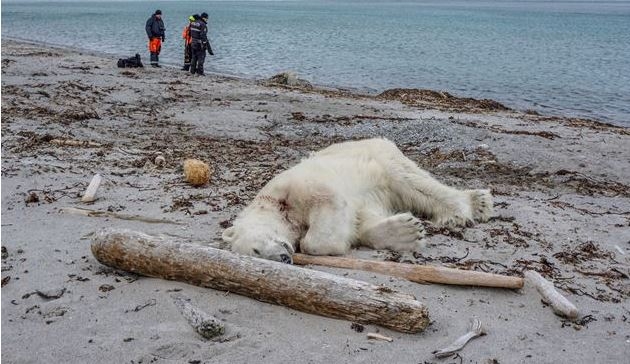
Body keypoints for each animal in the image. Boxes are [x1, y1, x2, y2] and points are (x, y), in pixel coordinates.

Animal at [222, 138, 494, 264]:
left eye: (256, 250)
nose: (283, 258)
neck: (276, 205)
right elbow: (361, 221)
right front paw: (406, 231)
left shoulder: (297, 187)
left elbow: (326, 209)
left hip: (381, 158)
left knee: (413, 182)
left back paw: (467, 208)